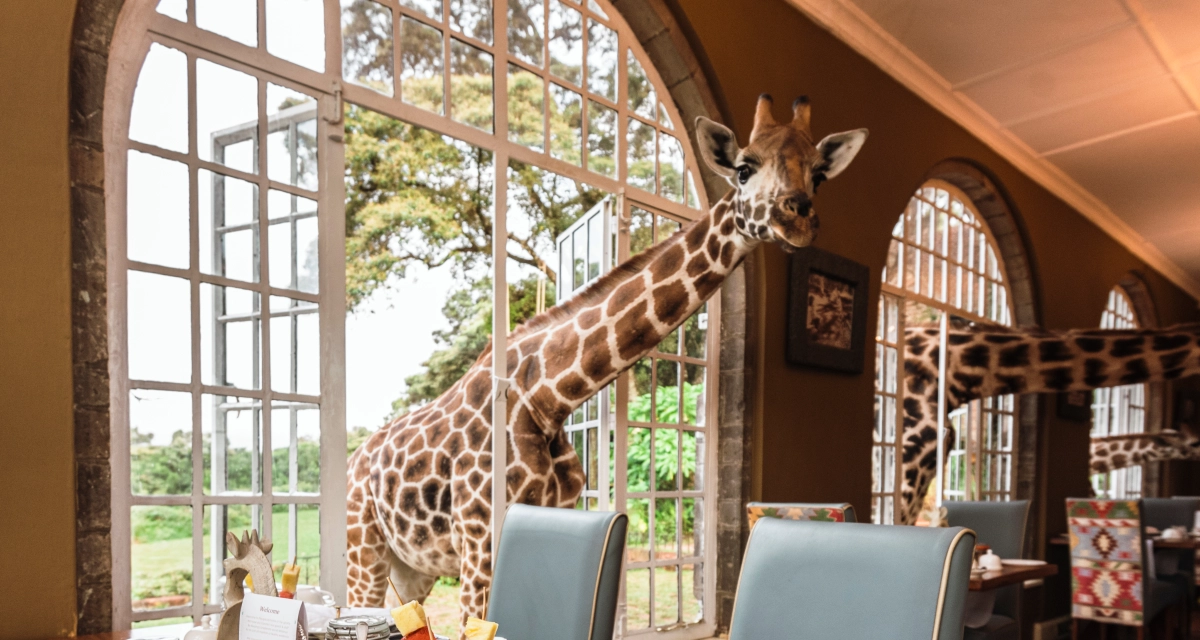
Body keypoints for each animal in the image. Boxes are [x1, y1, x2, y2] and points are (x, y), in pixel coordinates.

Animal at [344, 94, 868, 631]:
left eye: (818, 175)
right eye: (744, 168)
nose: (797, 217)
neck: (547, 397)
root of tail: (355, 459)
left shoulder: (552, 515)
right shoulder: (479, 542)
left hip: (412, 567)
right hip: (364, 544)